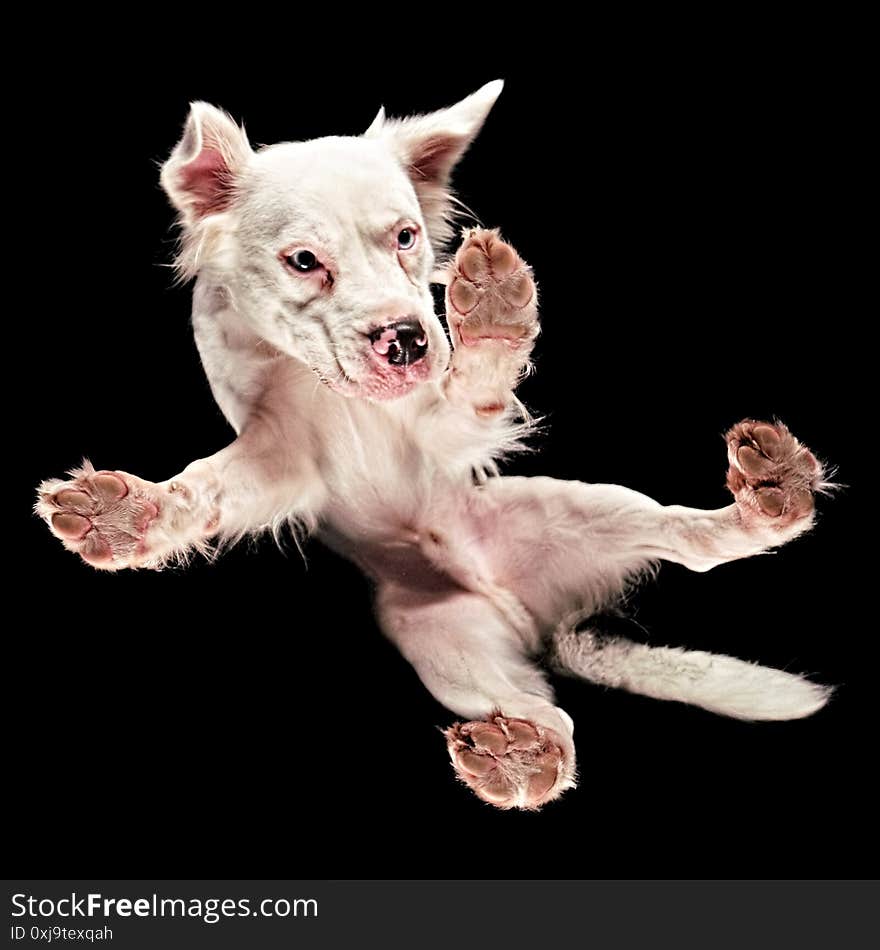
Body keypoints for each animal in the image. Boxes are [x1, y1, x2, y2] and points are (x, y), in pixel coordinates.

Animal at [34, 82, 832, 812]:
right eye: (303, 261)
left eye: (407, 237)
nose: (408, 340)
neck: (332, 391)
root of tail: (527, 613)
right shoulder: (280, 457)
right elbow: (205, 485)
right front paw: (127, 517)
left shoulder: (440, 424)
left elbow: (473, 384)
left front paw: (494, 310)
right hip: (448, 650)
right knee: (552, 715)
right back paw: (521, 760)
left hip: (584, 506)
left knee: (693, 541)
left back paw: (770, 495)